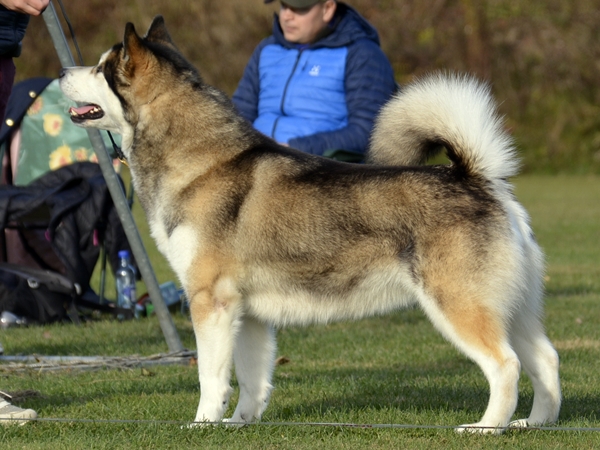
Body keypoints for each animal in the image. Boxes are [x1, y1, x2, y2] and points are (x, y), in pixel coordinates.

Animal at [58, 16, 560, 432]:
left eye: (100, 68)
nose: (61, 73)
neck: (196, 160)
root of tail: (477, 178)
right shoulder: (247, 312)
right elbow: (252, 379)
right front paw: (238, 424)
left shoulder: (210, 301)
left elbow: (211, 378)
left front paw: (201, 425)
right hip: (513, 307)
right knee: (547, 360)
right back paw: (535, 424)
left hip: (458, 304)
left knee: (506, 365)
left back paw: (486, 428)